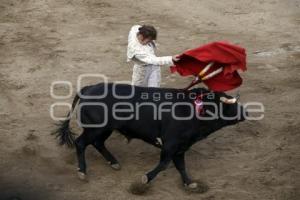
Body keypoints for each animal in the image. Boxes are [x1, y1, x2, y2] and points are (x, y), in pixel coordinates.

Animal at [54, 82, 246, 188]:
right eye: (229, 105)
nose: (245, 112)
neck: (194, 109)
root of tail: (88, 89)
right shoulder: (171, 144)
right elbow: (164, 165)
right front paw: (146, 178)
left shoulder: (181, 147)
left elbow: (181, 166)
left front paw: (189, 183)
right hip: (95, 129)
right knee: (81, 143)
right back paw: (82, 171)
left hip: (105, 129)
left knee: (98, 143)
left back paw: (114, 163)